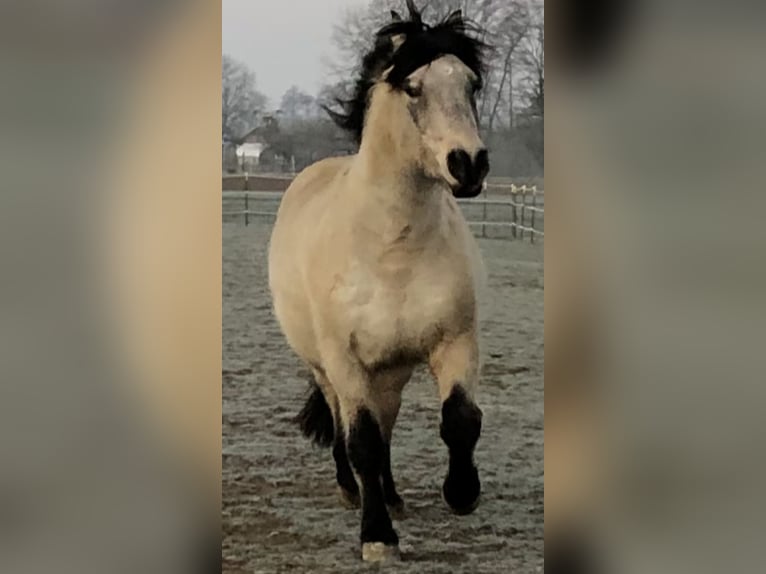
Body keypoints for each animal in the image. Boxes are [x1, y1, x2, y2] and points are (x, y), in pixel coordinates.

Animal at [268, 2, 488, 564]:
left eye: (472, 83)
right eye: (412, 87)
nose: (469, 164)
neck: (392, 251)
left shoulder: (454, 341)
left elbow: (460, 418)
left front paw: (462, 494)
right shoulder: (345, 360)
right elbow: (361, 440)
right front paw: (377, 537)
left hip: (392, 371)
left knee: (387, 426)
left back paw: (390, 495)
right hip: (327, 368)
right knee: (345, 426)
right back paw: (353, 491)